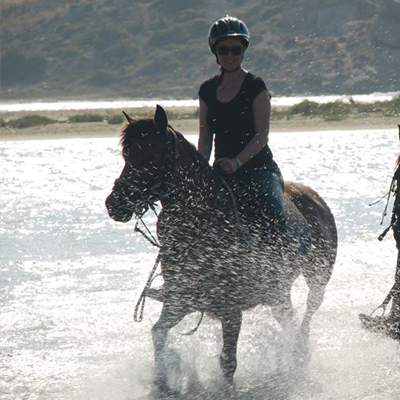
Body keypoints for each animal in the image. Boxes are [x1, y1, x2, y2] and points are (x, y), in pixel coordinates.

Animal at [106, 104, 338, 392]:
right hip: (278, 295)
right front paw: (162, 381)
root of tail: (313, 196)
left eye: (149, 154)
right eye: (126, 155)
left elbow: (228, 362)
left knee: (307, 314)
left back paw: (300, 354)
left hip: (318, 278)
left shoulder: (231, 311)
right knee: (289, 320)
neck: (200, 227)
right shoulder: (180, 301)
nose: (114, 204)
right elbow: (158, 333)